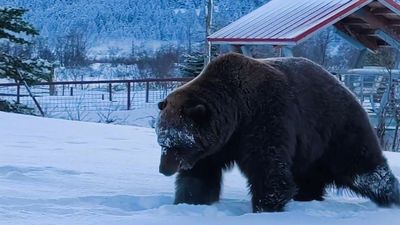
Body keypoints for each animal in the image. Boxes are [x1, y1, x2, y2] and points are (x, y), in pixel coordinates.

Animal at [155, 52, 398, 213]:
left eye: (177, 144)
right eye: (162, 141)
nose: (163, 169)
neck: (236, 114)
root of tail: (344, 86)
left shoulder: (265, 118)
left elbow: (268, 166)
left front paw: (265, 206)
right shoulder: (217, 145)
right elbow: (201, 175)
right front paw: (189, 200)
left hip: (337, 128)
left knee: (364, 168)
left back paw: (391, 195)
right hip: (311, 151)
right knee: (310, 178)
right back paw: (306, 196)